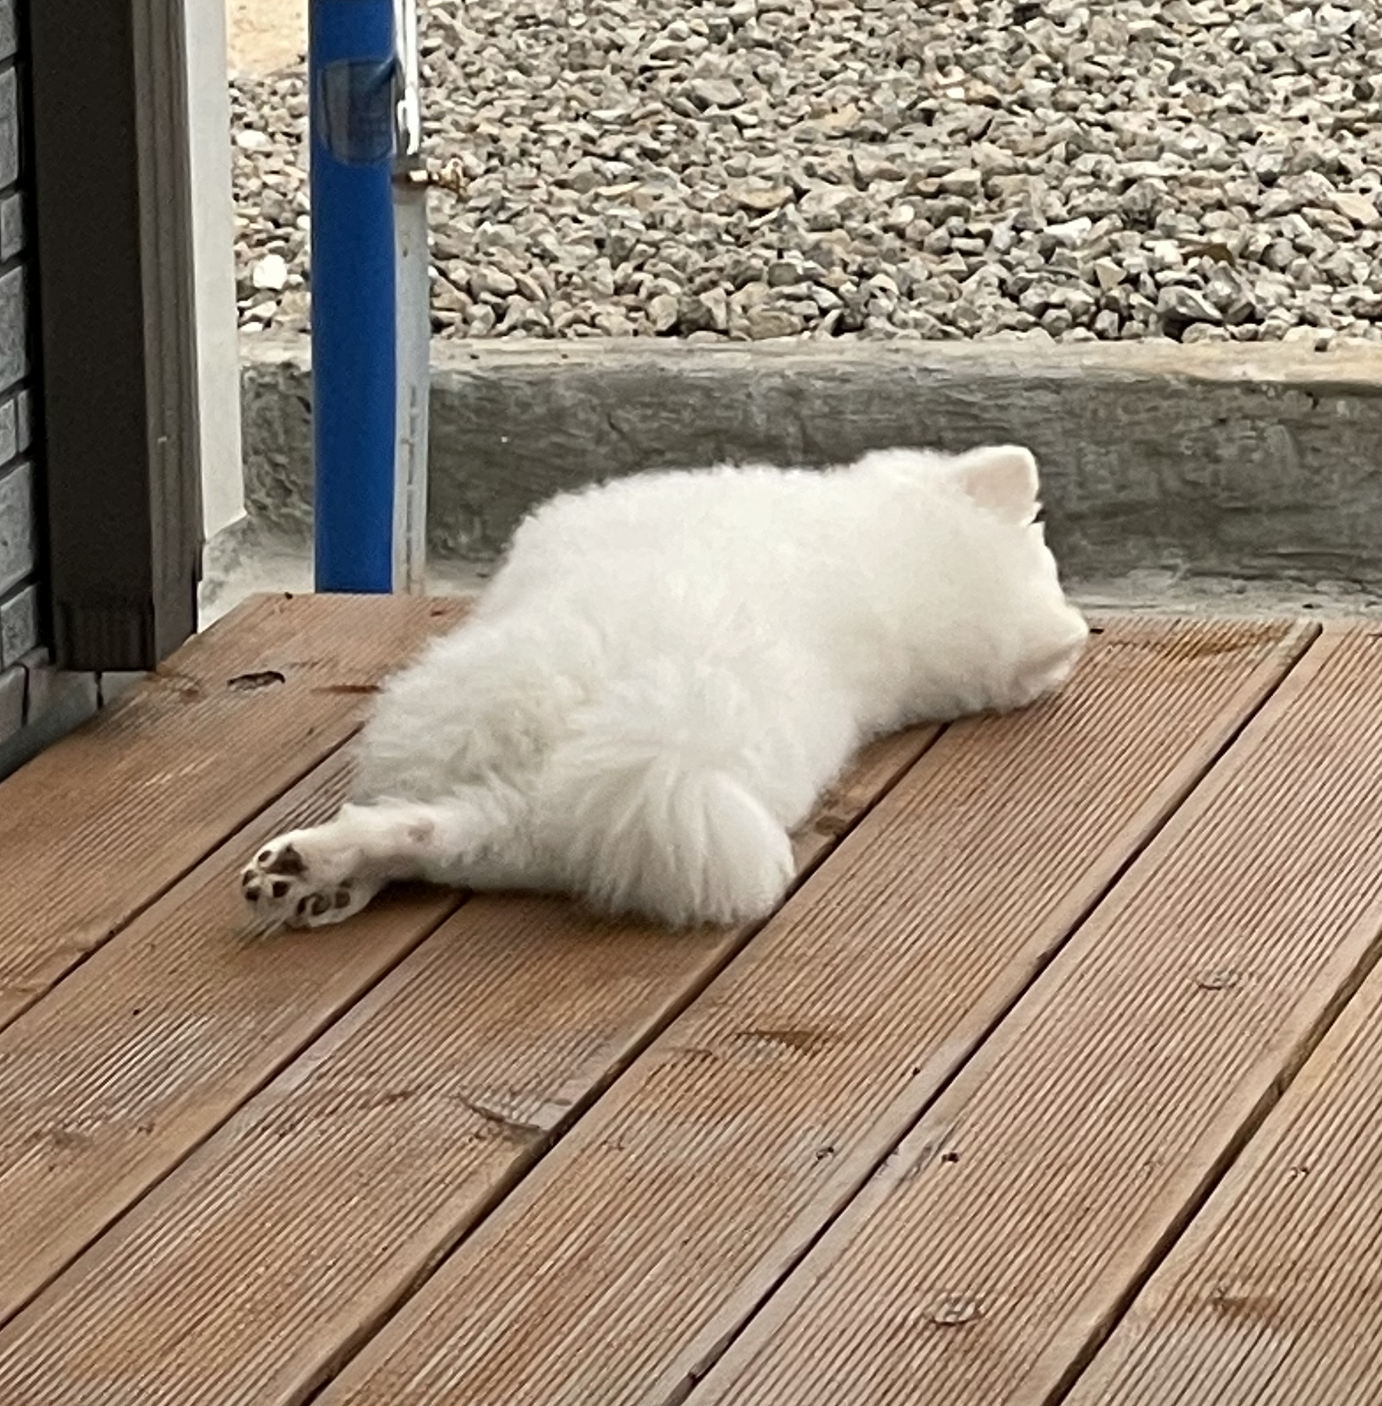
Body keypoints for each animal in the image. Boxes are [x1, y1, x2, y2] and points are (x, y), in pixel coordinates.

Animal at [240, 444, 1088, 930]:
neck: (887, 559)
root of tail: (662, 739)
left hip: (458, 710)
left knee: (397, 805)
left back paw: (312, 871)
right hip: (510, 825)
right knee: (421, 832)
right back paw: (317, 877)